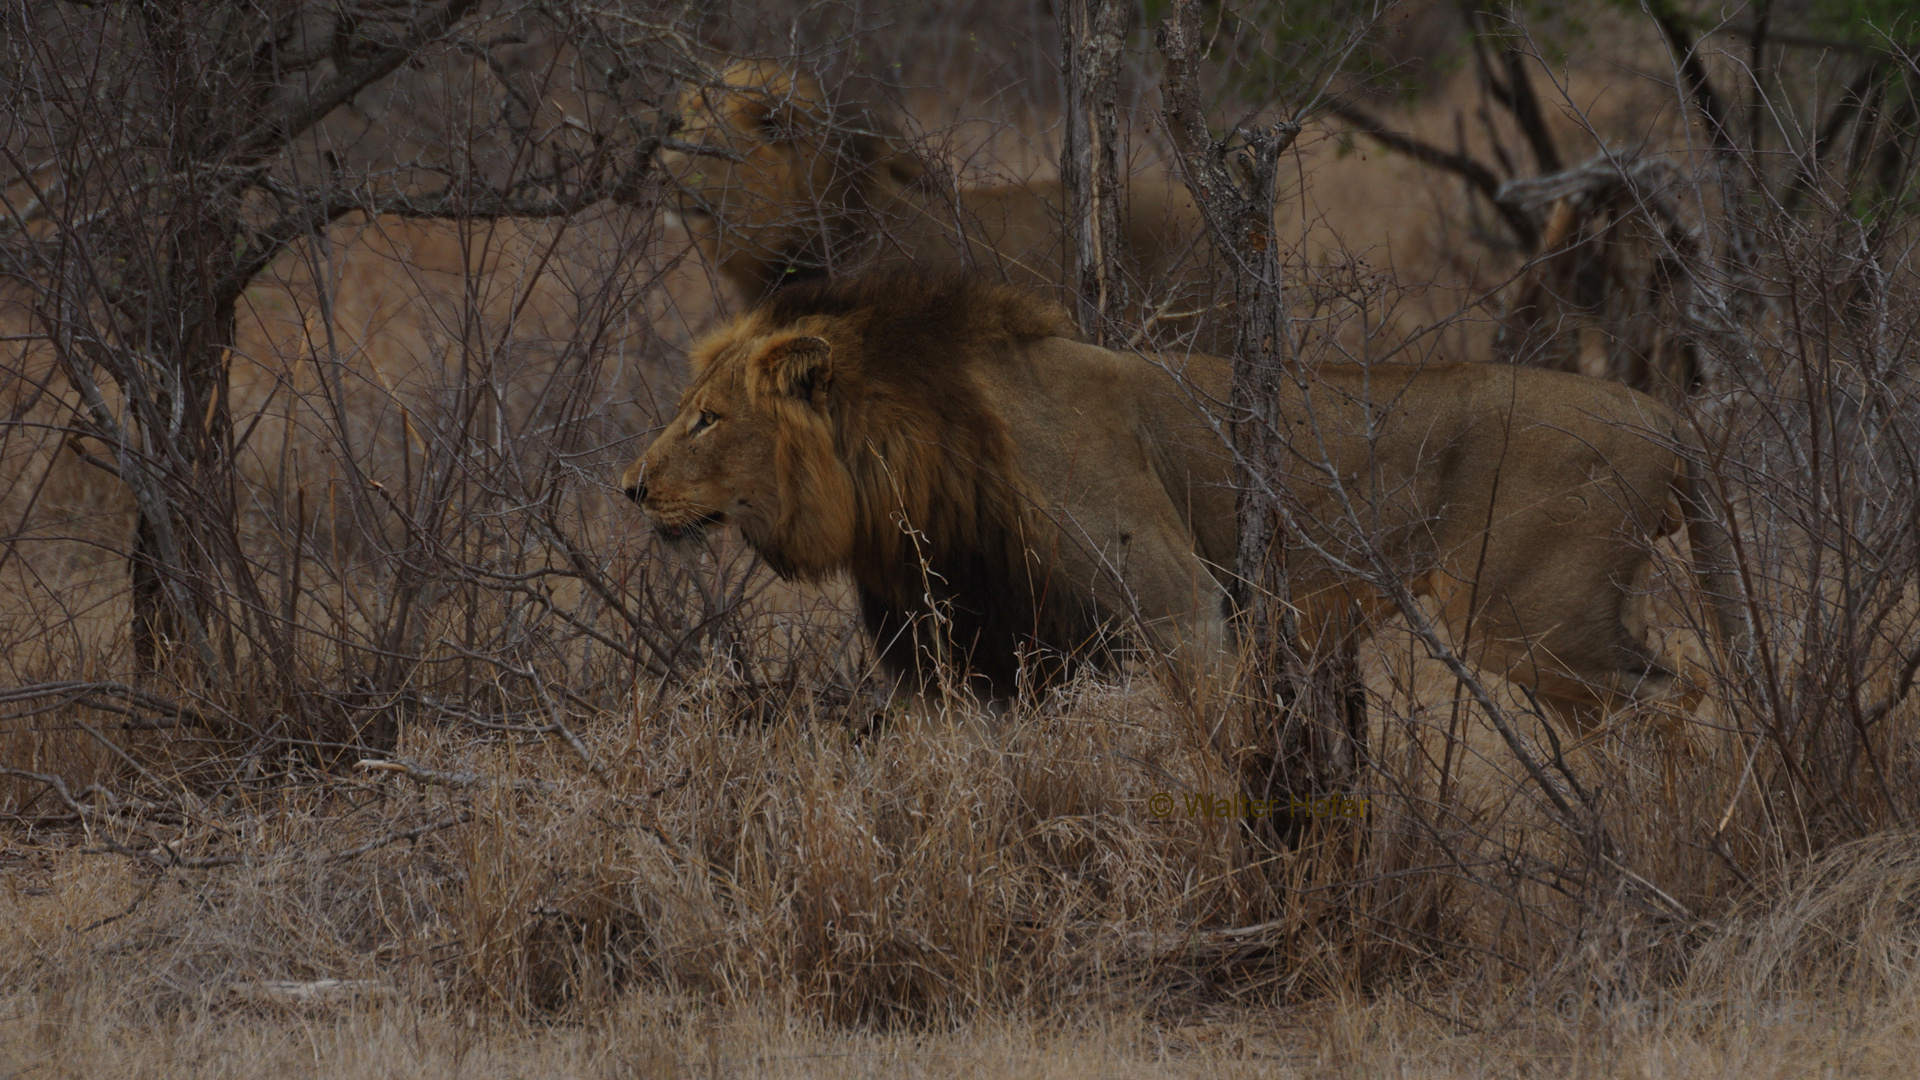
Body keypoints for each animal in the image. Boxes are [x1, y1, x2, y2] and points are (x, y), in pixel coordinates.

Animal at [622, 272, 1751, 718]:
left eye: (708, 419)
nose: (631, 490)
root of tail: (1668, 418)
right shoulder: (981, 653)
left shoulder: (1182, 614)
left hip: (1526, 615)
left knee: (1680, 693)